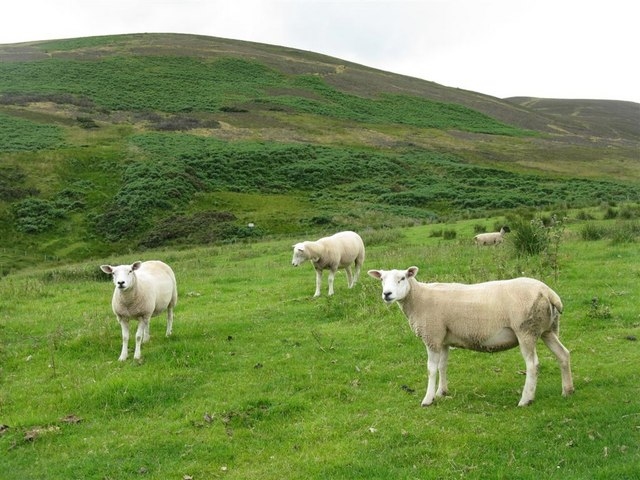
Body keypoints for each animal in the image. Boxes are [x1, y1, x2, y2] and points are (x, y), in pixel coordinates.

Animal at [368, 266, 572, 404]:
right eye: (381, 279)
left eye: (402, 278)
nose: (387, 294)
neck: (418, 298)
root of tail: (548, 292)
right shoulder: (443, 339)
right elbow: (442, 366)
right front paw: (442, 392)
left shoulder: (432, 336)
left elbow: (431, 369)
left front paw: (428, 399)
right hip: (547, 329)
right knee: (563, 354)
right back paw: (568, 390)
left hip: (526, 330)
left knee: (533, 365)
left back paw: (526, 399)